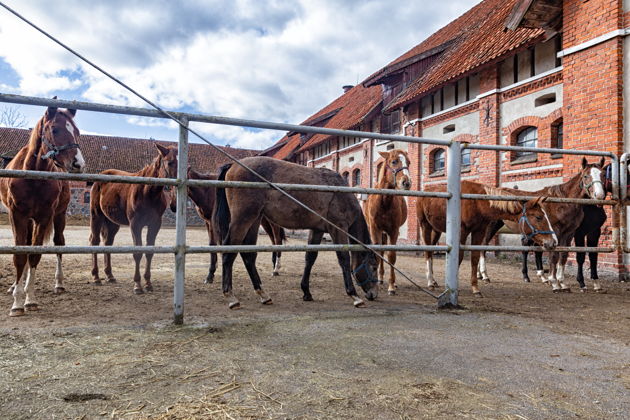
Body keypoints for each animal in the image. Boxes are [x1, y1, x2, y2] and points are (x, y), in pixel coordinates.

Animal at [0, 104, 85, 316]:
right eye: (55, 129)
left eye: (77, 131)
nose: (78, 164)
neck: (33, 175)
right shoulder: (18, 216)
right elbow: (20, 255)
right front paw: (17, 302)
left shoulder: (44, 217)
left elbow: (34, 254)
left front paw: (29, 300)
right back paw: (14, 286)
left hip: (59, 216)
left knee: (59, 243)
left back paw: (58, 284)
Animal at [90, 144, 178, 292]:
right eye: (170, 162)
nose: (174, 203)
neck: (148, 193)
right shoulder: (135, 225)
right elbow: (137, 252)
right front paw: (137, 285)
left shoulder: (155, 224)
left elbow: (149, 252)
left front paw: (148, 283)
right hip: (96, 216)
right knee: (94, 242)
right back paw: (96, 277)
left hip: (112, 223)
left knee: (108, 243)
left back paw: (109, 275)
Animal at [215, 157, 378, 308]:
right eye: (374, 266)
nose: (374, 294)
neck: (340, 193)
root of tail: (234, 165)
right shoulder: (338, 228)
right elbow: (344, 259)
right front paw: (354, 295)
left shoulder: (317, 230)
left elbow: (310, 258)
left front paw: (306, 291)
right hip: (243, 220)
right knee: (228, 252)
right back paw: (231, 296)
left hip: (254, 220)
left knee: (248, 255)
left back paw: (263, 294)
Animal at [362, 149, 412, 294]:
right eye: (394, 161)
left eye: (409, 162)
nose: (407, 183)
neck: (384, 202)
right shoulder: (375, 229)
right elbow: (378, 254)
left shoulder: (393, 230)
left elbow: (391, 256)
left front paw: (391, 285)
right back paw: (380, 278)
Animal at [420, 180, 556, 296]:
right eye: (538, 217)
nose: (553, 242)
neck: (477, 202)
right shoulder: (462, 232)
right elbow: (459, 257)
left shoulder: (479, 231)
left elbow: (475, 258)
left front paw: (475, 288)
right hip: (425, 226)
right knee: (427, 252)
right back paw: (430, 282)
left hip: (436, 230)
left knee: (431, 251)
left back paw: (434, 281)